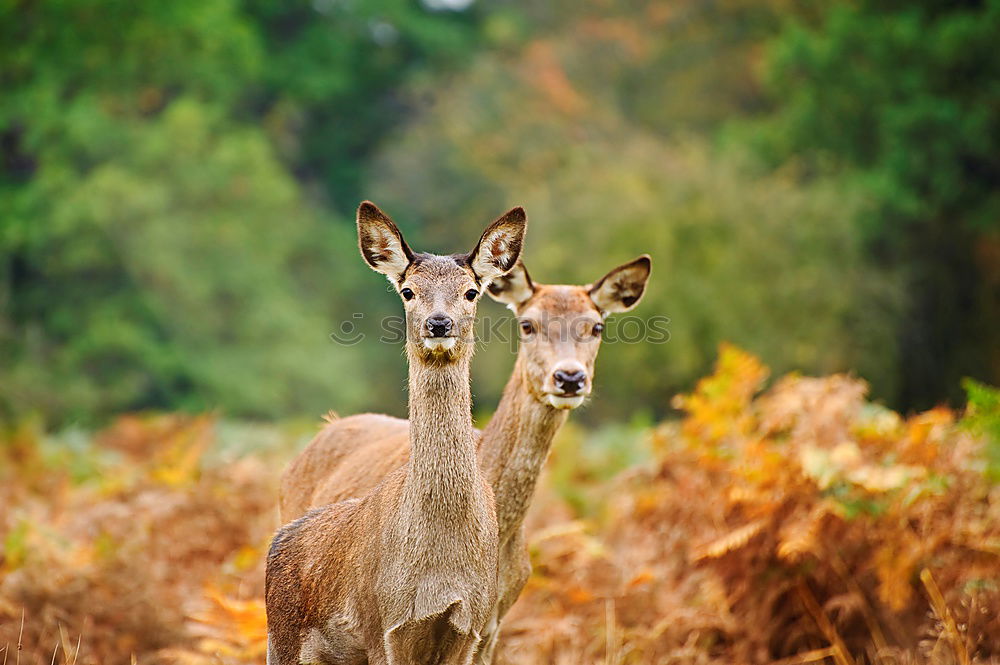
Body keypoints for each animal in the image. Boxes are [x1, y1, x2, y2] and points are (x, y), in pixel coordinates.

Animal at [266, 201, 532, 664]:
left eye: (471, 291)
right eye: (408, 291)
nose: (439, 323)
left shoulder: (473, 627)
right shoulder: (383, 626)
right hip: (281, 641)